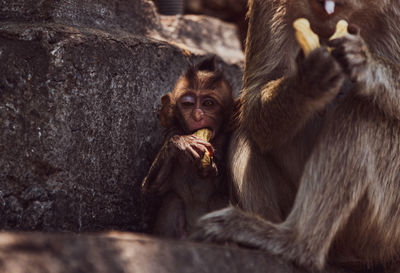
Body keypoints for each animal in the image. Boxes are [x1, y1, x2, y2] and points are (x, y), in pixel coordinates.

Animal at [191, 0, 400, 270]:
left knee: (362, 113)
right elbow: (257, 94)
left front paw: (365, 62)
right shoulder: (267, 7)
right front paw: (308, 82)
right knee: (247, 133)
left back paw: (296, 244)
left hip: (385, 224)